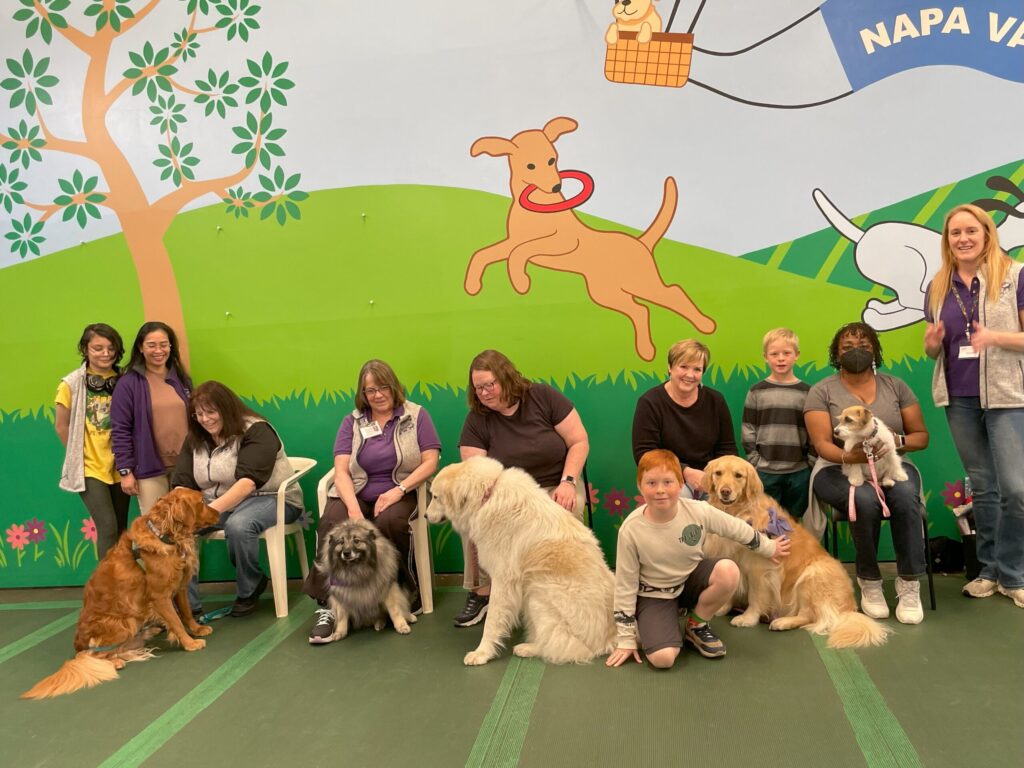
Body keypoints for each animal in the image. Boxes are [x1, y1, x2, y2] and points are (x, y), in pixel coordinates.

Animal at [23, 489, 221, 700]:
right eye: (201, 501)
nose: (219, 513)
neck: (164, 535)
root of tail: (79, 646)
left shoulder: (179, 586)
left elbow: (186, 612)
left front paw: (197, 628)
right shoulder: (160, 597)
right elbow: (176, 622)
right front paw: (190, 643)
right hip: (125, 623)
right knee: (94, 655)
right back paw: (115, 661)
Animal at [425, 456, 614, 667]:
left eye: (435, 497)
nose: (424, 515)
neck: (487, 496)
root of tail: (610, 637)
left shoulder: (503, 580)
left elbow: (492, 621)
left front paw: (482, 653)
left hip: (537, 593)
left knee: (566, 646)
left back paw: (529, 648)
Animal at [704, 456, 888, 651]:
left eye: (738, 475)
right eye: (718, 473)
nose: (725, 491)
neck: (738, 512)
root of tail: (848, 608)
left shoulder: (760, 569)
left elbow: (756, 596)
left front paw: (748, 618)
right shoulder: (729, 557)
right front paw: (722, 607)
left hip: (811, 575)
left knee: (809, 615)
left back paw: (782, 622)